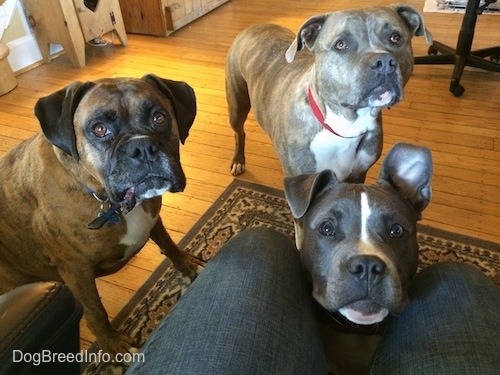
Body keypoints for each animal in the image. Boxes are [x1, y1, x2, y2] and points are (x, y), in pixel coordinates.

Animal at [0, 74, 205, 358]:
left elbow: (168, 242)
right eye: (99, 129)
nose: (142, 147)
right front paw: (114, 344)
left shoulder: (153, 220)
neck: (106, 201)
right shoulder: (76, 271)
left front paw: (187, 263)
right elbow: (96, 311)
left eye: (159, 118)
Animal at [229, 4, 432, 183]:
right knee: (239, 132)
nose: (383, 62)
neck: (346, 127)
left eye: (395, 38)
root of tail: (253, 27)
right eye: (340, 44)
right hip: (237, 106)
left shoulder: (358, 175)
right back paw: (238, 161)